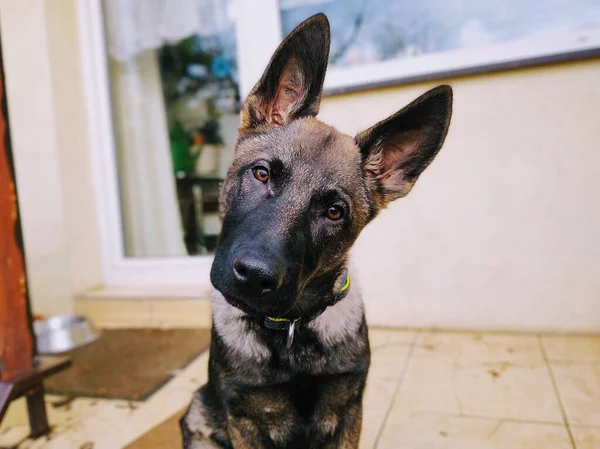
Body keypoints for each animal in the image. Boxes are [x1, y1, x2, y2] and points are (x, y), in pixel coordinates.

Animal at [180, 12, 452, 446]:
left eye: (334, 212)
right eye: (261, 173)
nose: (254, 276)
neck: (291, 330)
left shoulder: (347, 412)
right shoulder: (243, 419)